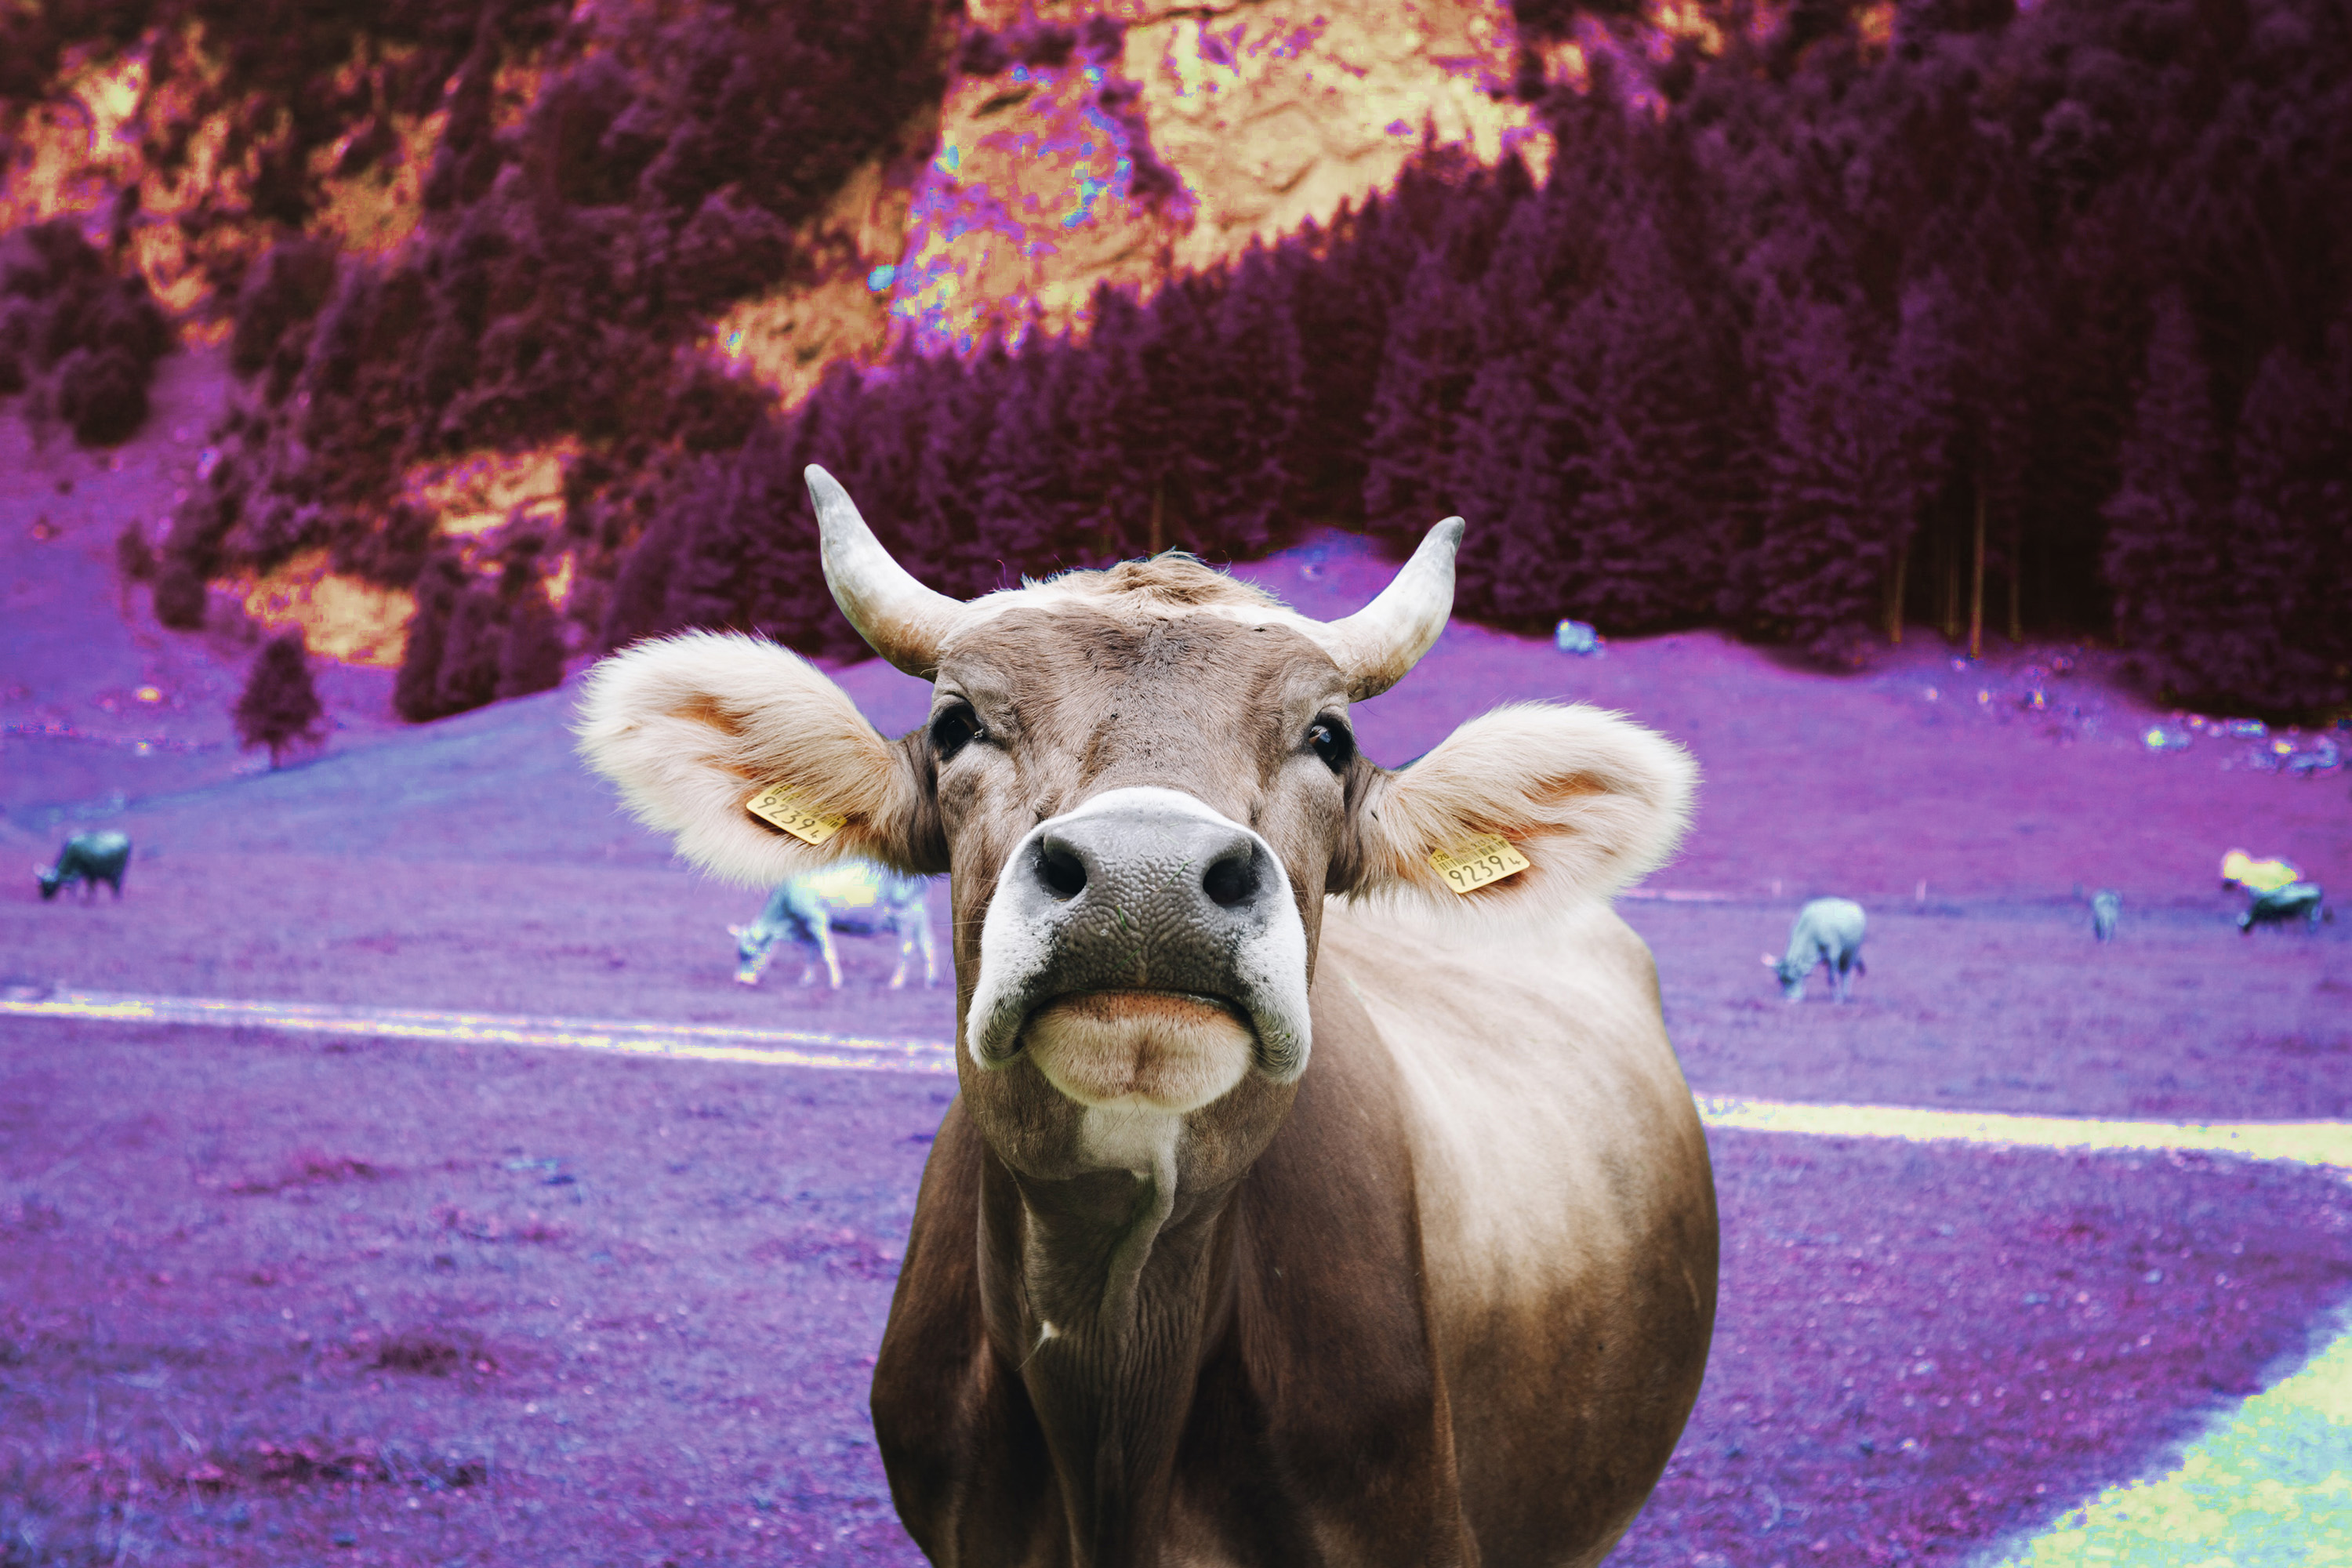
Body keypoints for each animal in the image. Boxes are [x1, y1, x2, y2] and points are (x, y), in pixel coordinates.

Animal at [731, 861, 937, 989]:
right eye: (739, 953)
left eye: (750, 954)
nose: (741, 981)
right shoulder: (806, 926)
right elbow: (810, 952)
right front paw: (807, 979)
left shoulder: (817, 920)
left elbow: (827, 952)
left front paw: (836, 982)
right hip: (920, 913)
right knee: (927, 945)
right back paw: (930, 981)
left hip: (905, 916)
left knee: (907, 948)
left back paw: (896, 982)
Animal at [1765, 896, 1867, 1002]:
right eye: (1781, 980)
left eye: (1793, 977)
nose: (1790, 999)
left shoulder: (1834, 954)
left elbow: (1831, 978)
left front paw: (1837, 998)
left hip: (1851, 953)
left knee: (1846, 972)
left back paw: (1845, 994)